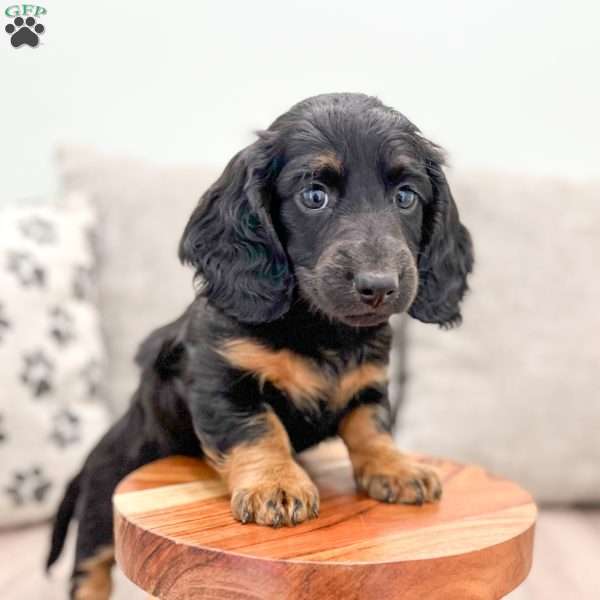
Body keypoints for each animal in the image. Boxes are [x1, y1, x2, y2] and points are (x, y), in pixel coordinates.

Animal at [47, 91, 474, 596]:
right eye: (314, 195)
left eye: (406, 196)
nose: (379, 286)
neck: (321, 329)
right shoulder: (220, 380)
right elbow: (259, 429)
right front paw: (277, 485)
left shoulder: (369, 382)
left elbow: (371, 425)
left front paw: (396, 467)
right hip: (102, 502)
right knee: (89, 568)